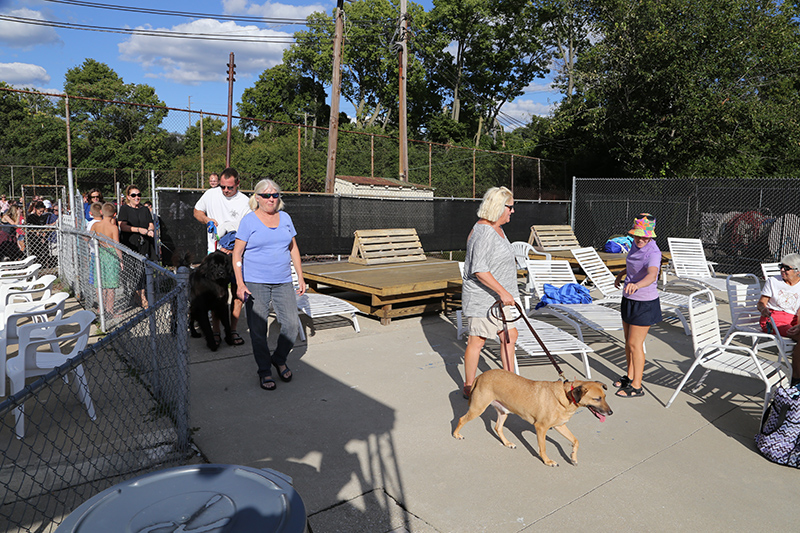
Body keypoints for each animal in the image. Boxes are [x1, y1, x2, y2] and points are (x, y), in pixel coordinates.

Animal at [456, 370, 612, 466]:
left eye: (604, 397)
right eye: (597, 399)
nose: (610, 413)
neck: (566, 396)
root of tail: (480, 375)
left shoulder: (559, 426)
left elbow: (575, 440)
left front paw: (573, 457)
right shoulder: (541, 428)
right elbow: (543, 448)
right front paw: (547, 461)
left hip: (503, 411)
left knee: (497, 427)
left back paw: (507, 443)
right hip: (477, 409)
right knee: (461, 419)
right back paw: (456, 435)